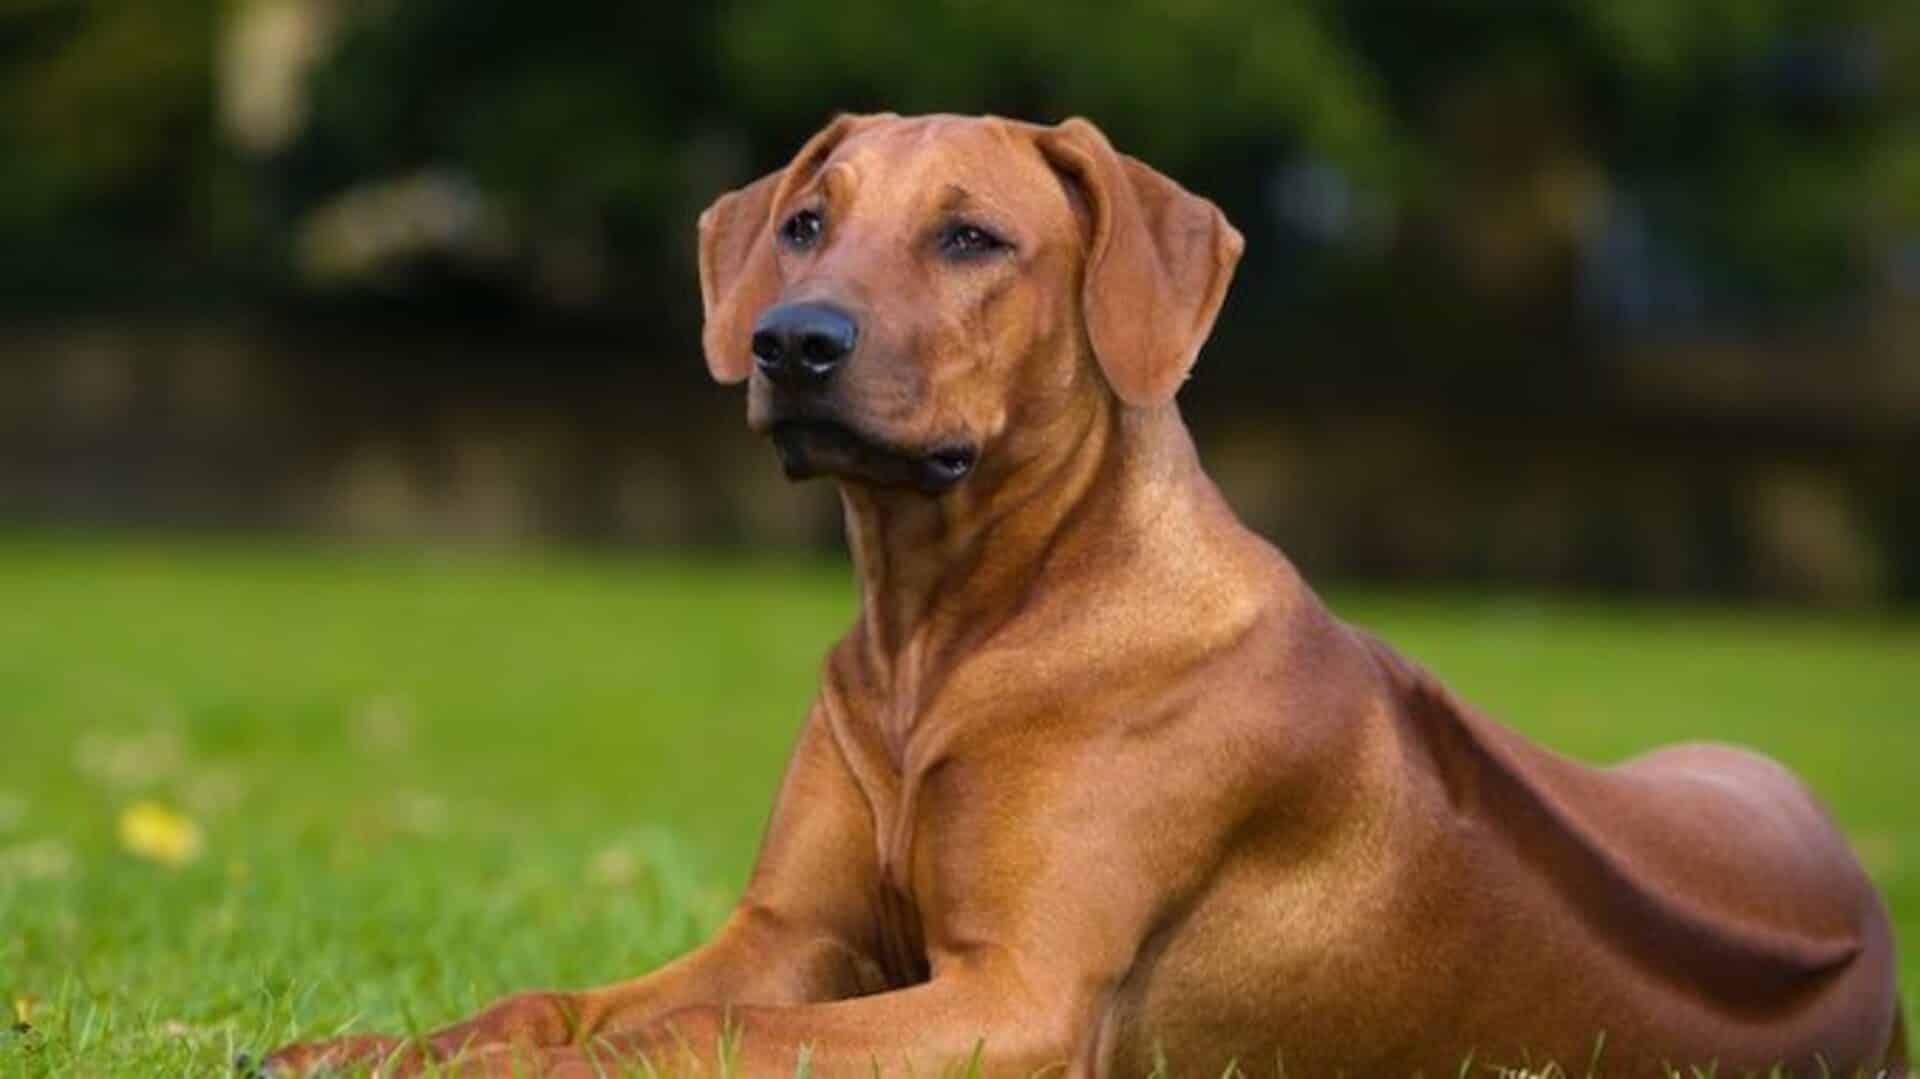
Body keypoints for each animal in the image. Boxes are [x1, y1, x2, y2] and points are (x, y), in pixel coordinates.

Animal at [270, 113, 1904, 1067]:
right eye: (805, 223)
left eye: (972, 236)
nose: (793, 340)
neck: (945, 626)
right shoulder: (787, 932)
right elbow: (562, 1001)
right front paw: (373, 1043)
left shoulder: (1016, 996)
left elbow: (689, 1039)